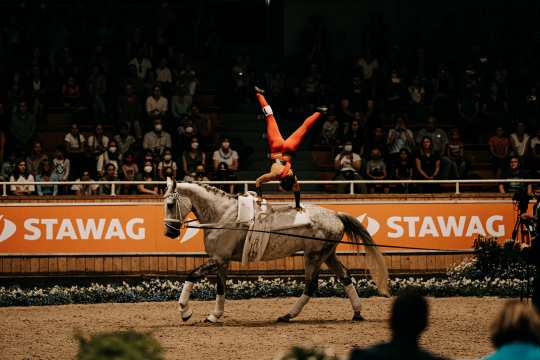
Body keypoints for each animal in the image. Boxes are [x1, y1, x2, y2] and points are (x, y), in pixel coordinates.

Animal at [162, 181, 386, 322]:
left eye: (170, 204)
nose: (169, 232)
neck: (223, 215)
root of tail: (335, 215)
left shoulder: (218, 259)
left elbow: (192, 275)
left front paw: (184, 311)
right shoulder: (222, 261)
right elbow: (220, 288)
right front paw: (214, 315)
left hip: (314, 256)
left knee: (311, 285)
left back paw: (288, 315)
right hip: (328, 255)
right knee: (345, 276)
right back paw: (357, 313)